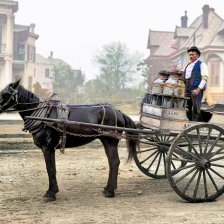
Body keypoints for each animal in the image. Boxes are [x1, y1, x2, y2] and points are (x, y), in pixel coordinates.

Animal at [0, 80, 138, 201]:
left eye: (5, 93)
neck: (43, 117)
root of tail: (118, 112)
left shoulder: (47, 147)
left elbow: (50, 169)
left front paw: (50, 194)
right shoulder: (50, 149)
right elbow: (52, 168)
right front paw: (53, 191)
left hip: (110, 141)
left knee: (114, 162)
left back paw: (110, 191)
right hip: (106, 141)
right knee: (111, 162)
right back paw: (107, 188)